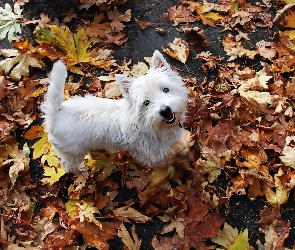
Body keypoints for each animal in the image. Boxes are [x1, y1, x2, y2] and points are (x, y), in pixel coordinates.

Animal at [41, 49, 190, 173]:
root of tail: (56, 113)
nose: (165, 110)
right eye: (146, 103)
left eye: (165, 89)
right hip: (73, 151)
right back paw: (79, 170)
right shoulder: (153, 154)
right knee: (68, 164)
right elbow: (162, 162)